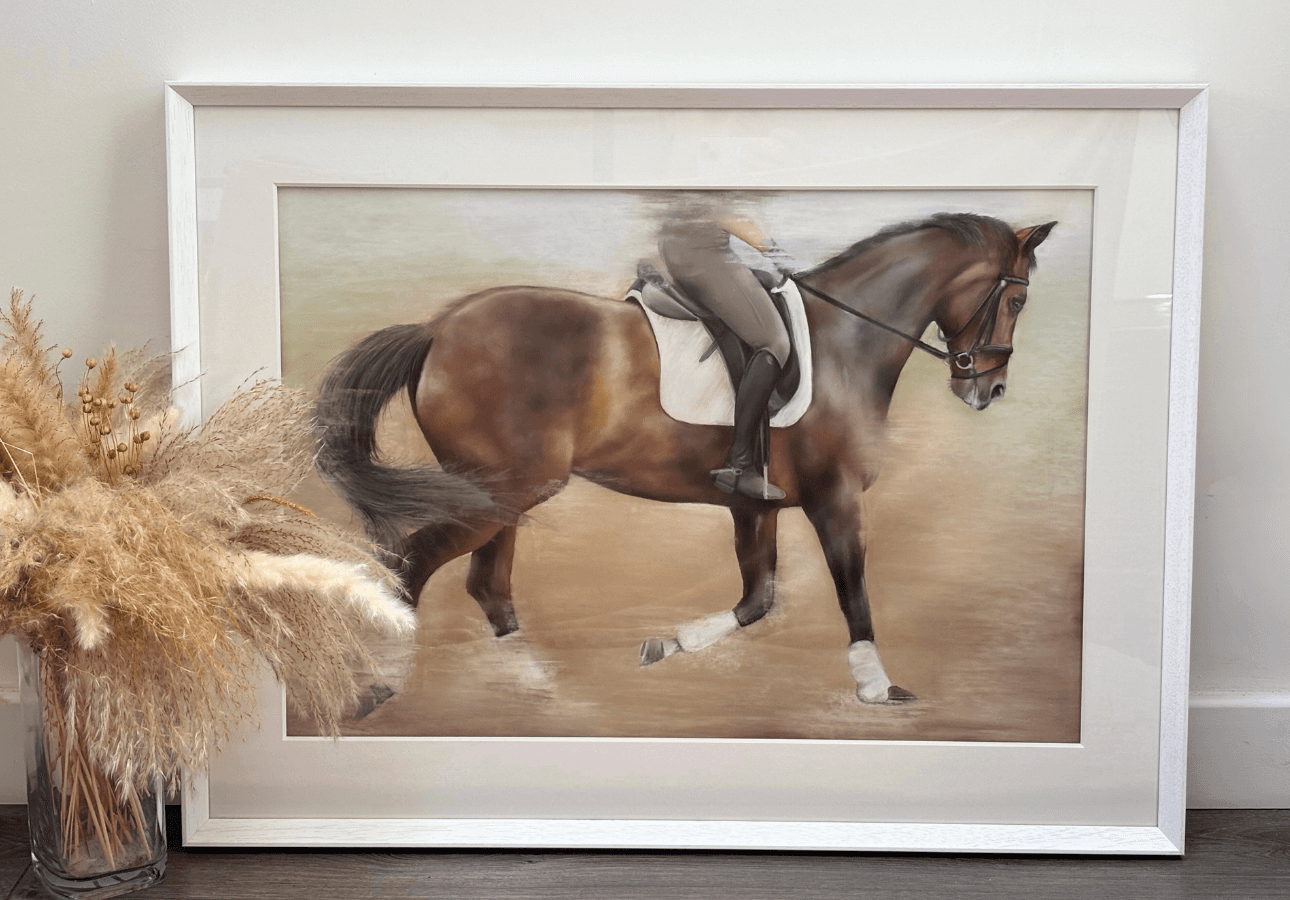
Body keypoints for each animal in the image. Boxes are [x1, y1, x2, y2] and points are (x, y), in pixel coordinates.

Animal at [314, 212, 1057, 705]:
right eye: (1018, 298)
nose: (987, 389)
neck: (847, 339)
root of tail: (438, 327)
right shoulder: (835, 497)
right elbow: (851, 588)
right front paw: (877, 685)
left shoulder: (755, 504)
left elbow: (757, 599)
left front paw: (664, 645)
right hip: (505, 489)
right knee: (416, 562)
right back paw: (382, 684)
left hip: (504, 493)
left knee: (484, 583)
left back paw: (534, 682)